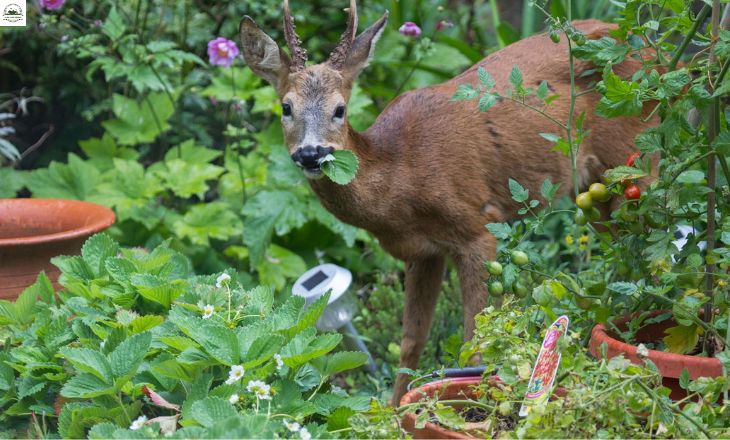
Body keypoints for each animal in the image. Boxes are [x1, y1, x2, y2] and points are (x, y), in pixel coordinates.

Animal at [240, 0, 656, 406]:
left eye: (339, 109)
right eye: (286, 108)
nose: (311, 153)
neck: (400, 178)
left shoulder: (477, 228)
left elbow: (475, 339)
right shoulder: (421, 252)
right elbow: (411, 340)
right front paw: (395, 411)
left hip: (635, 154)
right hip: (592, 189)